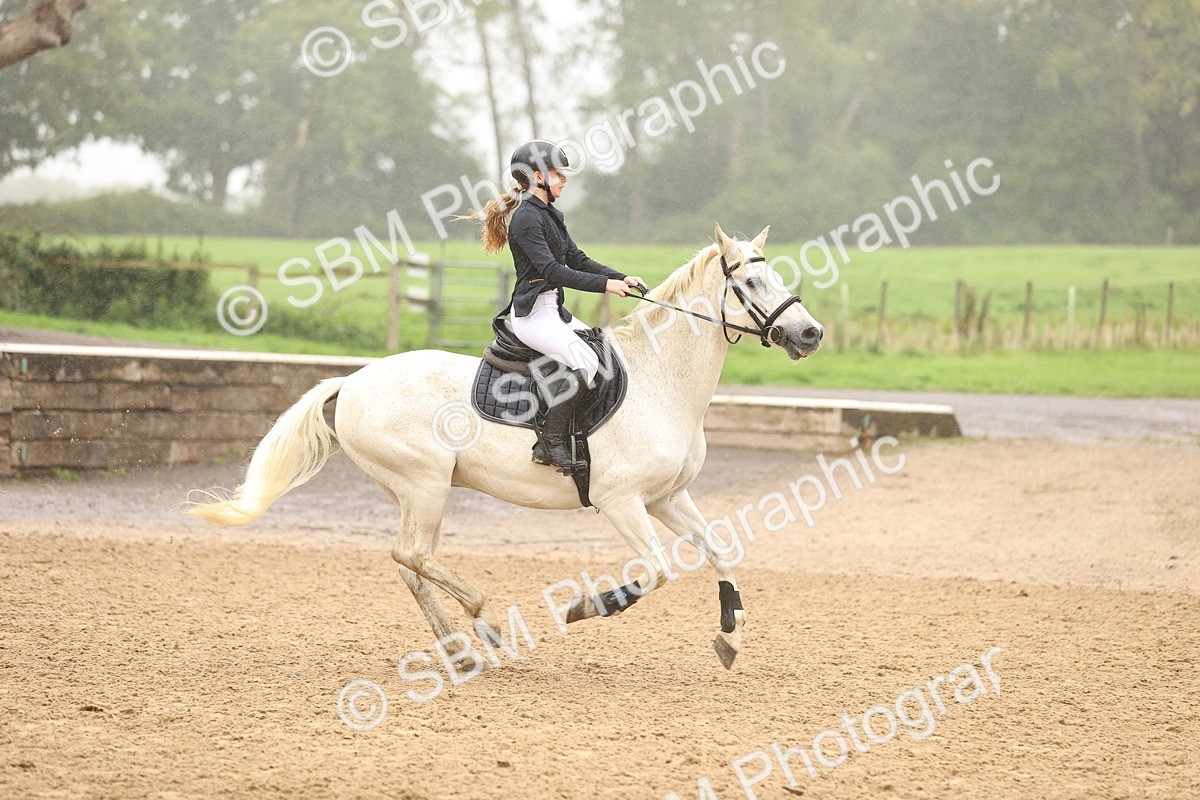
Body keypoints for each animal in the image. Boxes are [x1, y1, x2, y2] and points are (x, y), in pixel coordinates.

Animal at [186, 224, 823, 668]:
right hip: (424, 483)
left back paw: (461, 648)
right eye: (750, 284)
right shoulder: (621, 501)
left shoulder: (668, 497)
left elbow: (720, 550)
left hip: (420, 491)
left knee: (410, 562)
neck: (659, 381)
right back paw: (486, 621)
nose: (810, 333)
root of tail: (354, 380)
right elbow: (656, 571)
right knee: (412, 555)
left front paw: (730, 638)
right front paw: (584, 607)